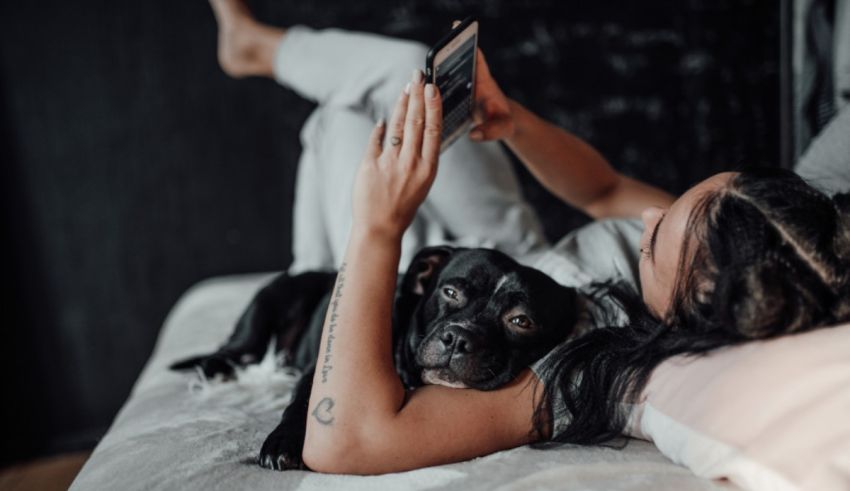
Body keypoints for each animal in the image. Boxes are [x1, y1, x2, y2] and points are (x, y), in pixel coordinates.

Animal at [172, 248, 580, 470]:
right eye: (450, 292)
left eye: (521, 321)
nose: (458, 337)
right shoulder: (318, 374)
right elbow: (301, 404)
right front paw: (282, 443)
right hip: (270, 302)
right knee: (236, 347)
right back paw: (215, 369)